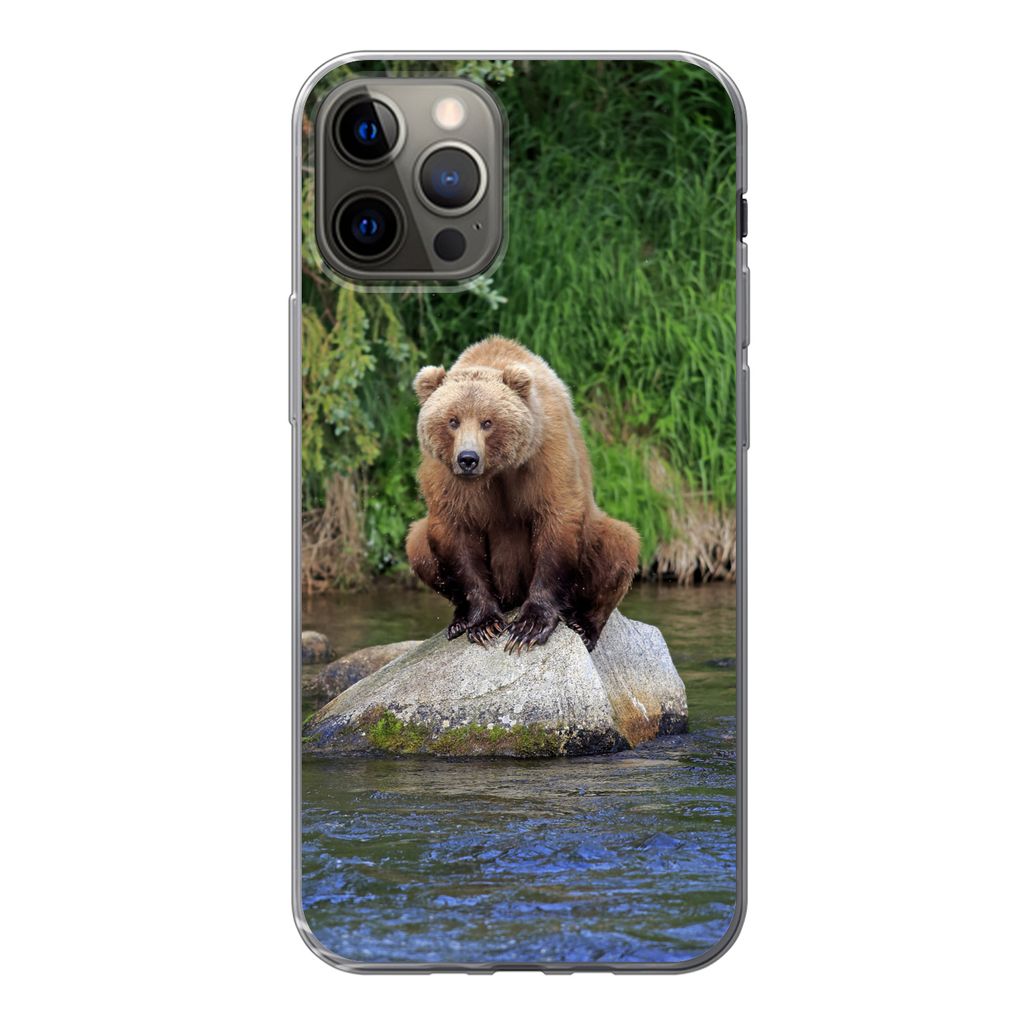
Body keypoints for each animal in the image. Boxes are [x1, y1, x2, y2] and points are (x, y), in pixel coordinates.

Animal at [405, 336, 640, 653]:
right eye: (452, 420)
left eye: (488, 422)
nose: (468, 459)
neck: (498, 470)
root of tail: (511, 597)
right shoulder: (446, 476)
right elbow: (456, 533)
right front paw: (483, 624)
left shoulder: (545, 454)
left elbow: (557, 519)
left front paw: (529, 626)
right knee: (417, 543)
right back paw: (458, 621)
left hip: (594, 539)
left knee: (619, 543)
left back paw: (584, 623)